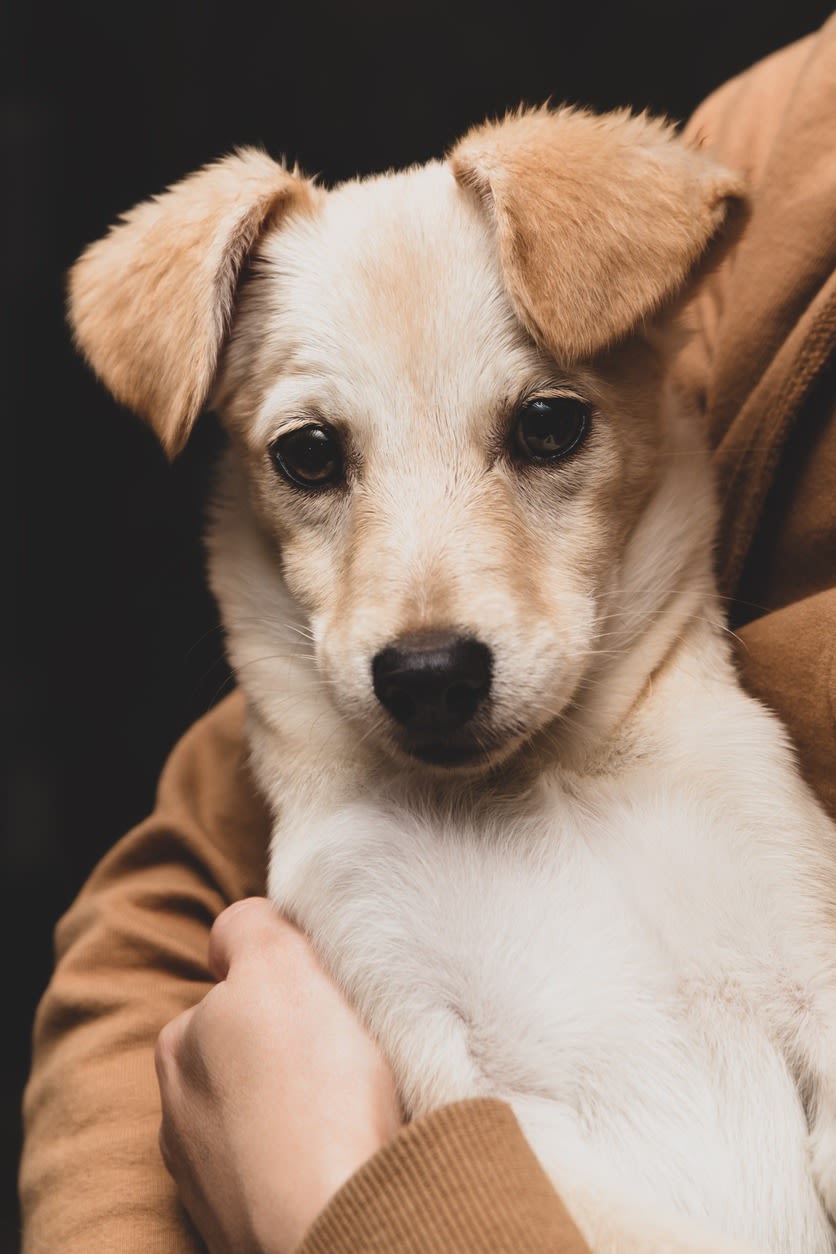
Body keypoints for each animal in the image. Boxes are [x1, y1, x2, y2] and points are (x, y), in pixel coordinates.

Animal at [68, 110, 836, 1254]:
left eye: (550, 426)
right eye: (307, 454)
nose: (428, 677)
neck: (536, 788)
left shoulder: (808, 953)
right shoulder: (433, 1043)